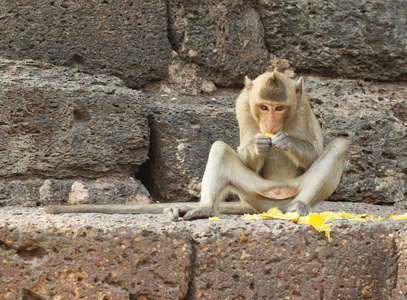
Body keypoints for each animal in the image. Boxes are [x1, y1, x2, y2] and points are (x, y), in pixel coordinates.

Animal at [44, 69, 350, 220]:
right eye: (263, 107)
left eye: (280, 108)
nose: (271, 125)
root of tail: (269, 206)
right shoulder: (242, 103)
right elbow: (244, 152)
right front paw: (258, 144)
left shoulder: (303, 105)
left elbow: (316, 151)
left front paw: (284, 140)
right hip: (254, 193)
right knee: (220, 149)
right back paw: (206, 209)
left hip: (287, 193)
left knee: (338, 147)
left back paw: (300, 207)